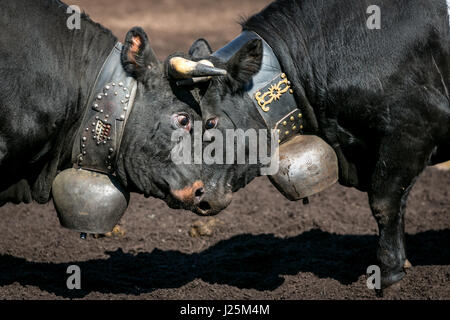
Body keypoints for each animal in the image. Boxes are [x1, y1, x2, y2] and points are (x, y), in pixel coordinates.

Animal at [166, 0, 450, 290]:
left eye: (211, 121)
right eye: (184, 120)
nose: (192, 194)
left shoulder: (414, 127)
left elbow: (384, 203)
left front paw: (389, 272)